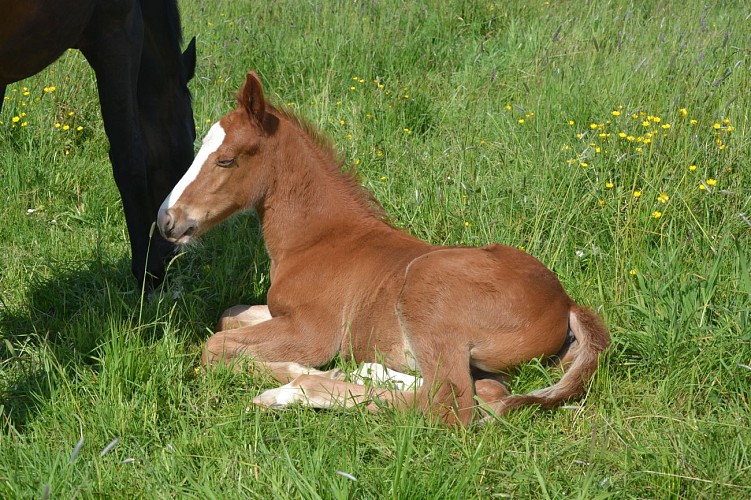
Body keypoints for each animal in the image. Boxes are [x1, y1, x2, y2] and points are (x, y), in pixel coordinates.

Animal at [156, 72, 608, 426]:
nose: (166, 221)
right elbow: (228, 316)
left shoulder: (313, 331)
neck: (318, 239)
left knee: (447, 406)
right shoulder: (278, 311)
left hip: (427, 287)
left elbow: (213, 349)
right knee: (484, 389)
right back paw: (368, 371)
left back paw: (296, 391)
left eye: (227, 160)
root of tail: (565, 301)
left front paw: (303, 372)